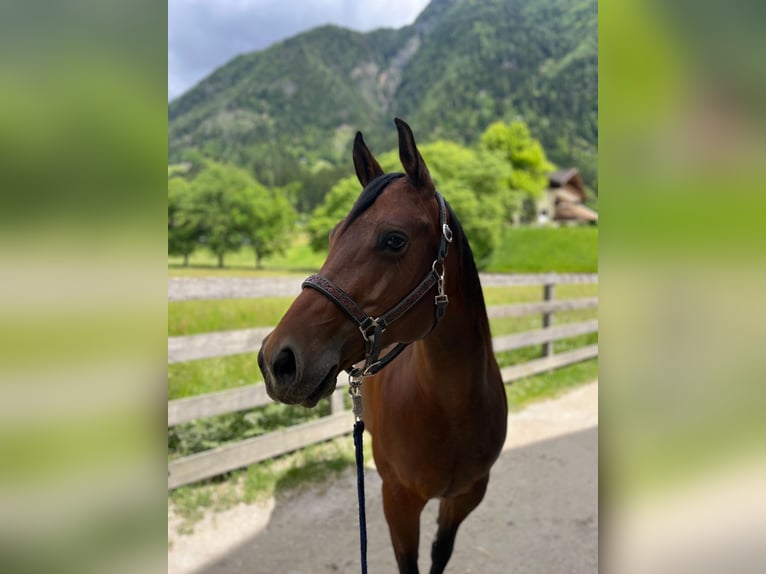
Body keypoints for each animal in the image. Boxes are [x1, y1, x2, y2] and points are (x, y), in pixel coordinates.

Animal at [258, 118, 508, 573]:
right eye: (332, 235)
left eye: (394, 240)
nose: (276, 360)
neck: (453, 409)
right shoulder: (399, 504)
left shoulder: (464, 499)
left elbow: (439, 555)